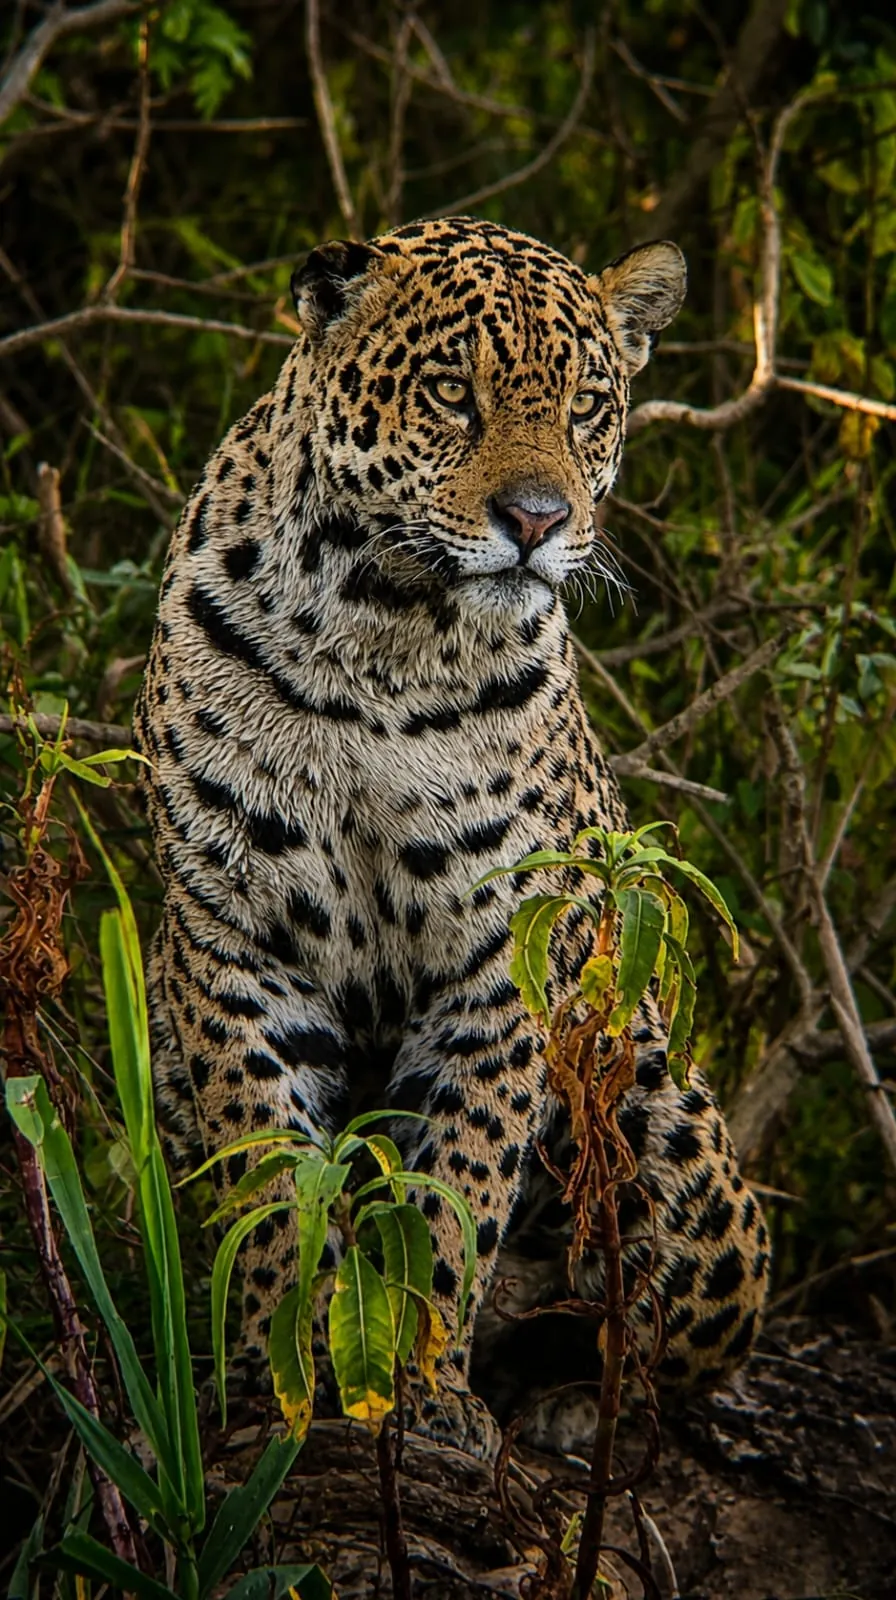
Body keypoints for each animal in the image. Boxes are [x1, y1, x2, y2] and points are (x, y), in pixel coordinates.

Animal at [134, 216, 770, 1460]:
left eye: (584, 405)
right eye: (450, 394)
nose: (536, 522)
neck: (383, 636)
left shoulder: (498, 960)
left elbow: (454, 1195)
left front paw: (422, 1390)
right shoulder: (233, 942)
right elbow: (269, 1180)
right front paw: (279, 1376)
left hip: (663, 1108)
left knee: (668, 1347)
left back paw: (568, 1398)